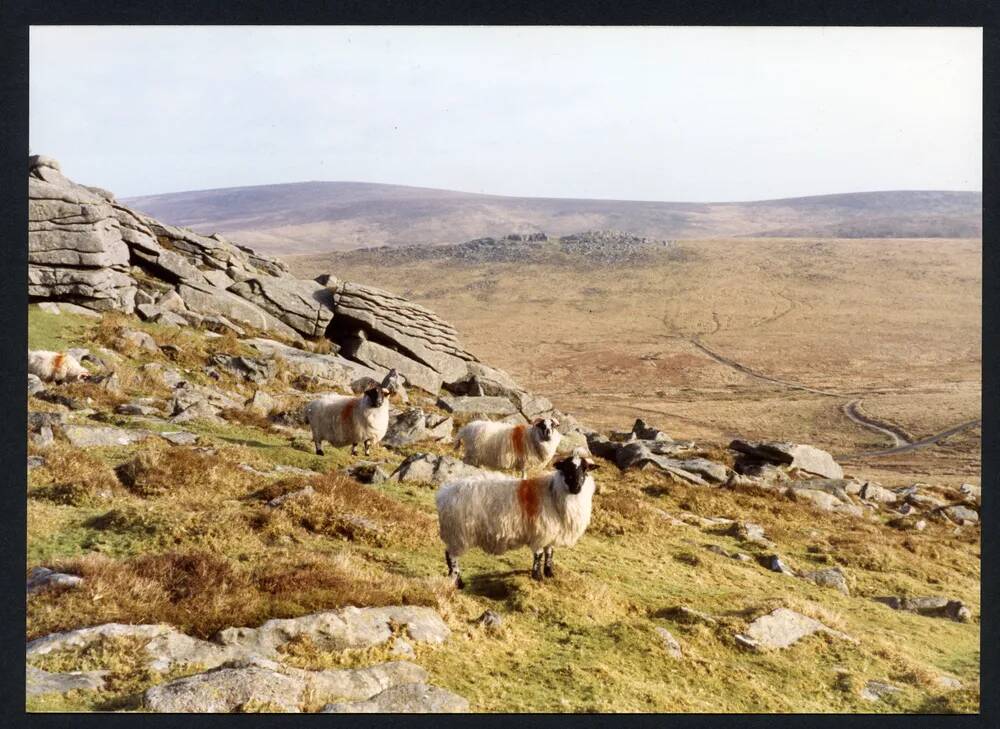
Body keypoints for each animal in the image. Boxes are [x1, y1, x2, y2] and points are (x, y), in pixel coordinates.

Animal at [434, 452, 596, 588]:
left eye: (585, 470)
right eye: (567, 468)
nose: (576, 487)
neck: (553, 493)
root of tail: (444, 494)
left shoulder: (551, 532)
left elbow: (550, 552)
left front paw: (550, 573)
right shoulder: (540, 532)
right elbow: (539, 554)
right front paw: (537, 576)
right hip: (457, 533)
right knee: (451, 556)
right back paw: (458, 582)